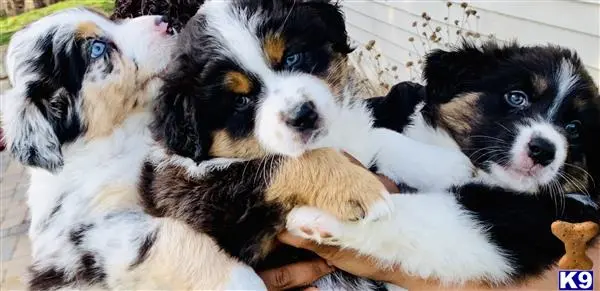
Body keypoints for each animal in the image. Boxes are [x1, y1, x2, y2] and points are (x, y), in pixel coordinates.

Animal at [138, 0, 472, 290]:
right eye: (240, 101)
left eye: (292, 58)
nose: (303, 115)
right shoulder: (205, 203)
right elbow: (279, 163)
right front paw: (358, 189)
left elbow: (381, 138)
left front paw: (447, 165)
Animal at [288, 41, 600, 290]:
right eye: (516, 97)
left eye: (574, 128)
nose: (544, 150)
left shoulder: (523, 226)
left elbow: (422, 217)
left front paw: (319, 216)